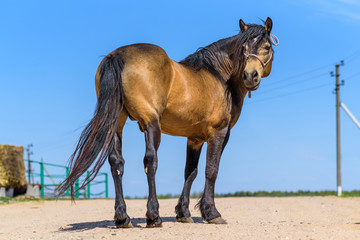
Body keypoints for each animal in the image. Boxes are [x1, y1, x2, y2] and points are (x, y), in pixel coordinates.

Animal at [57, 16, 278, 227]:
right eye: (243, 49)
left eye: (267, 47)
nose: (250, 76)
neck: (219, 75)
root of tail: (117, 55)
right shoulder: (220, 133)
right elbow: (211, 170)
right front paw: (212, 213)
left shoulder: (195, 138)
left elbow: (190, 171)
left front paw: (184, 213)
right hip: (151, 124)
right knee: (150, 161)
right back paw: (154, 216)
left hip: (115, 124)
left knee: (116, 163)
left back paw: (122, 218)